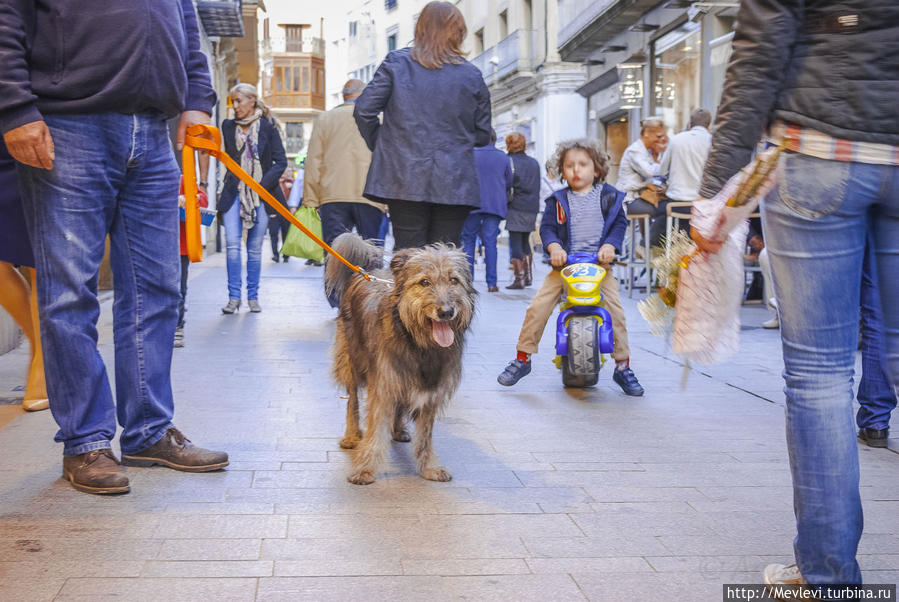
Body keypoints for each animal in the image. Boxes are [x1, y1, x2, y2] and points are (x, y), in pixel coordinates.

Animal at [326, 232, 478, 486]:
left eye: (453, 280)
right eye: (424, 282)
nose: (446, 312)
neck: (419, 343)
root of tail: (365, 271)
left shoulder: (429, 391)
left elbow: (425, 437)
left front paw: (429, 467)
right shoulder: (383, 386)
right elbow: (376, 431)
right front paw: (365, 469)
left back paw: (398, 430)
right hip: (351, 359)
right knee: (352, 399)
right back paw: (351, 436)